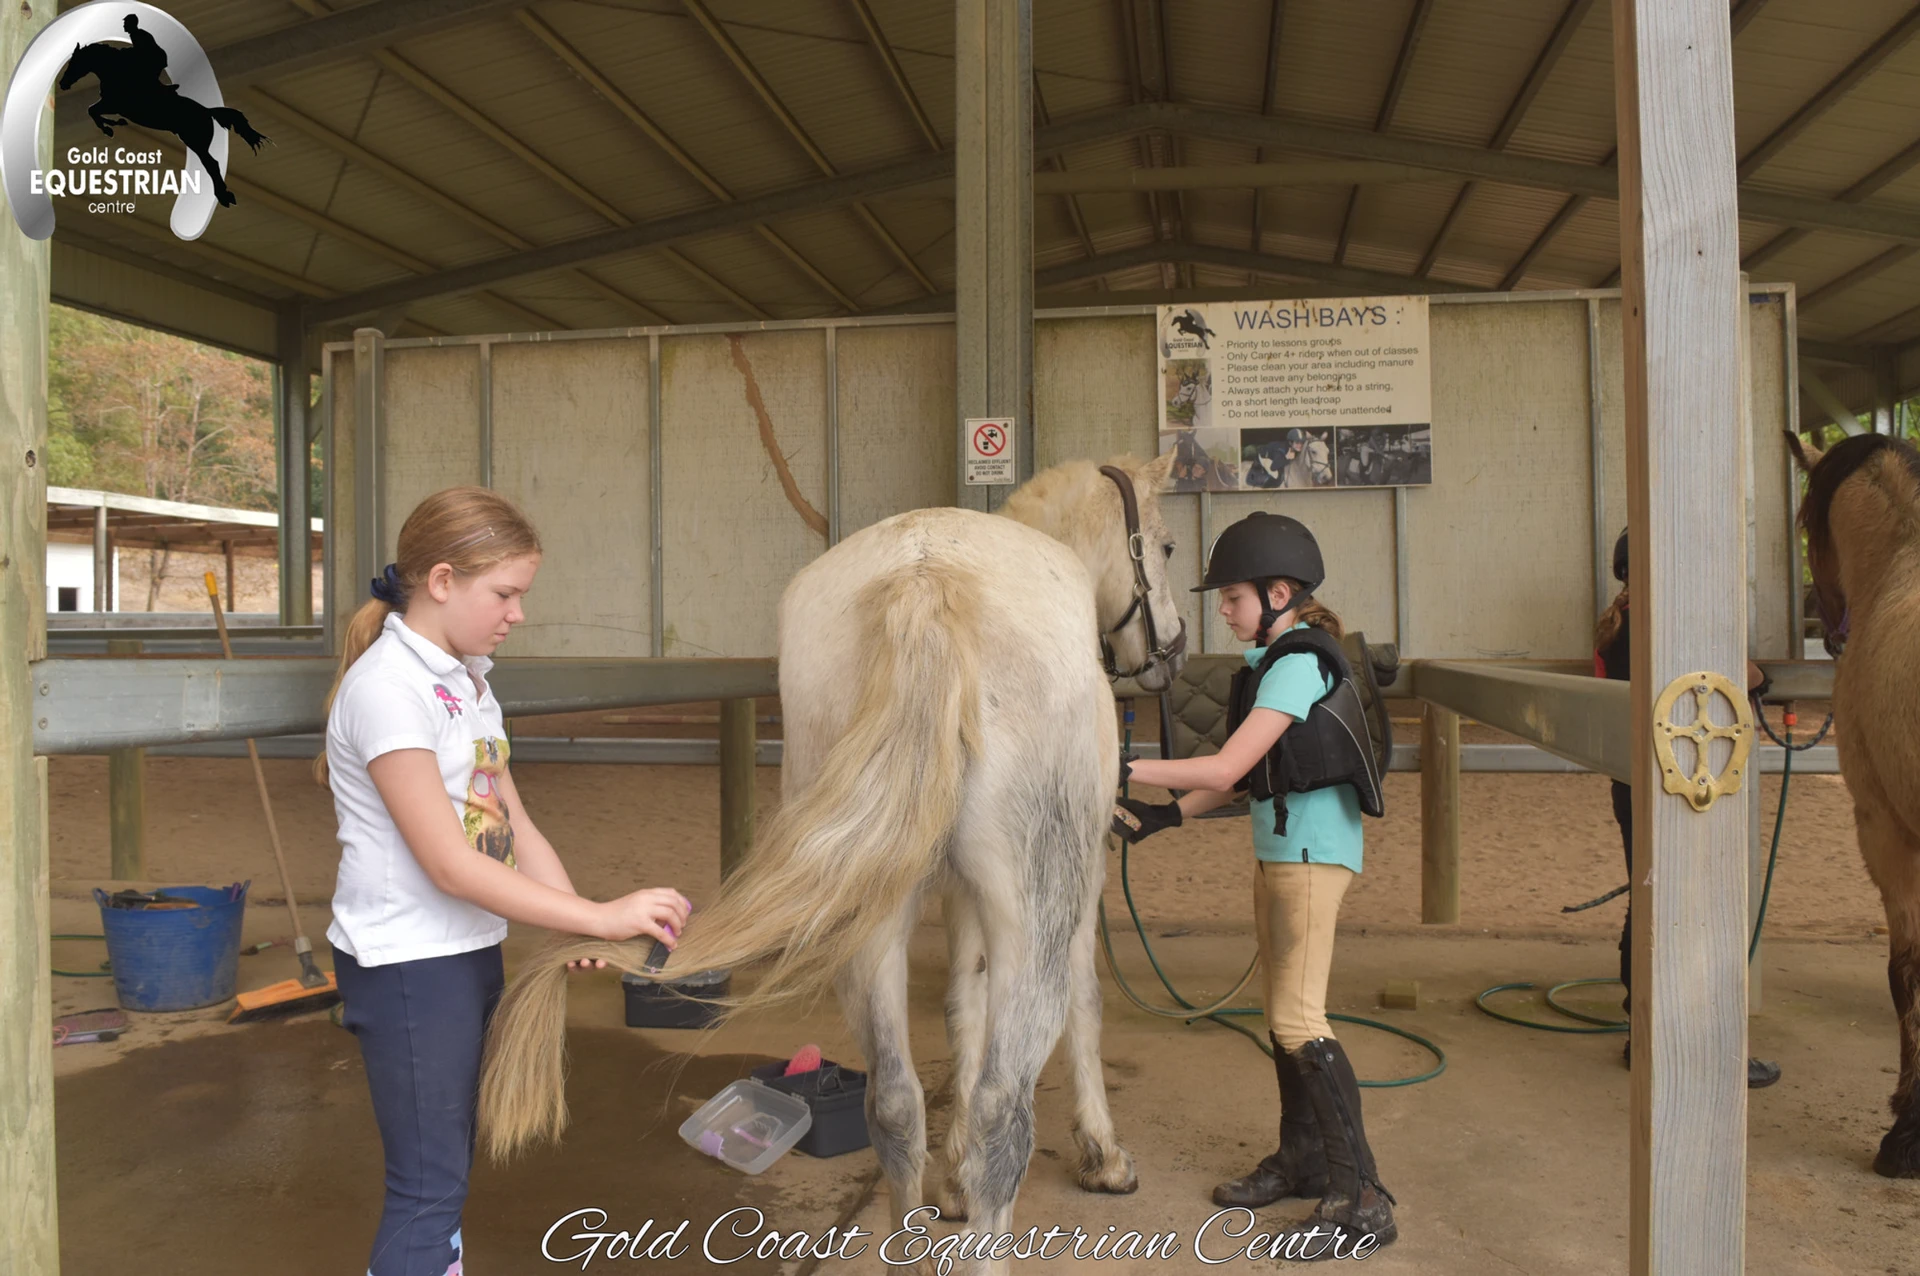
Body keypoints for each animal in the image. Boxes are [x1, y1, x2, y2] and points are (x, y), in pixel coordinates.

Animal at [58, 37, 267, 209]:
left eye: (74, 62)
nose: (62, 84)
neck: (117, 72)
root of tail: (207, 111)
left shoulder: (113, 103)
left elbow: (92, 111)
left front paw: (111, 127)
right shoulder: (109, 103)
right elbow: (92, 111)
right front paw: (113, 125)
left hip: (195, 141)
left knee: (212, 164)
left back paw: (224, 197)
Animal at [476, 453, 1189, 1265]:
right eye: (1166, 546)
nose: (1172, 654)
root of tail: (924, 581)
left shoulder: (959, 895)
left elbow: (963, 1005)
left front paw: (951, 1183)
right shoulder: (1079, 881)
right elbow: (1083, 1006)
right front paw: (1104, 1156)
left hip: (869, 913)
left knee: (895, 1105)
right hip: (1030, 905)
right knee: (1003, 1112)